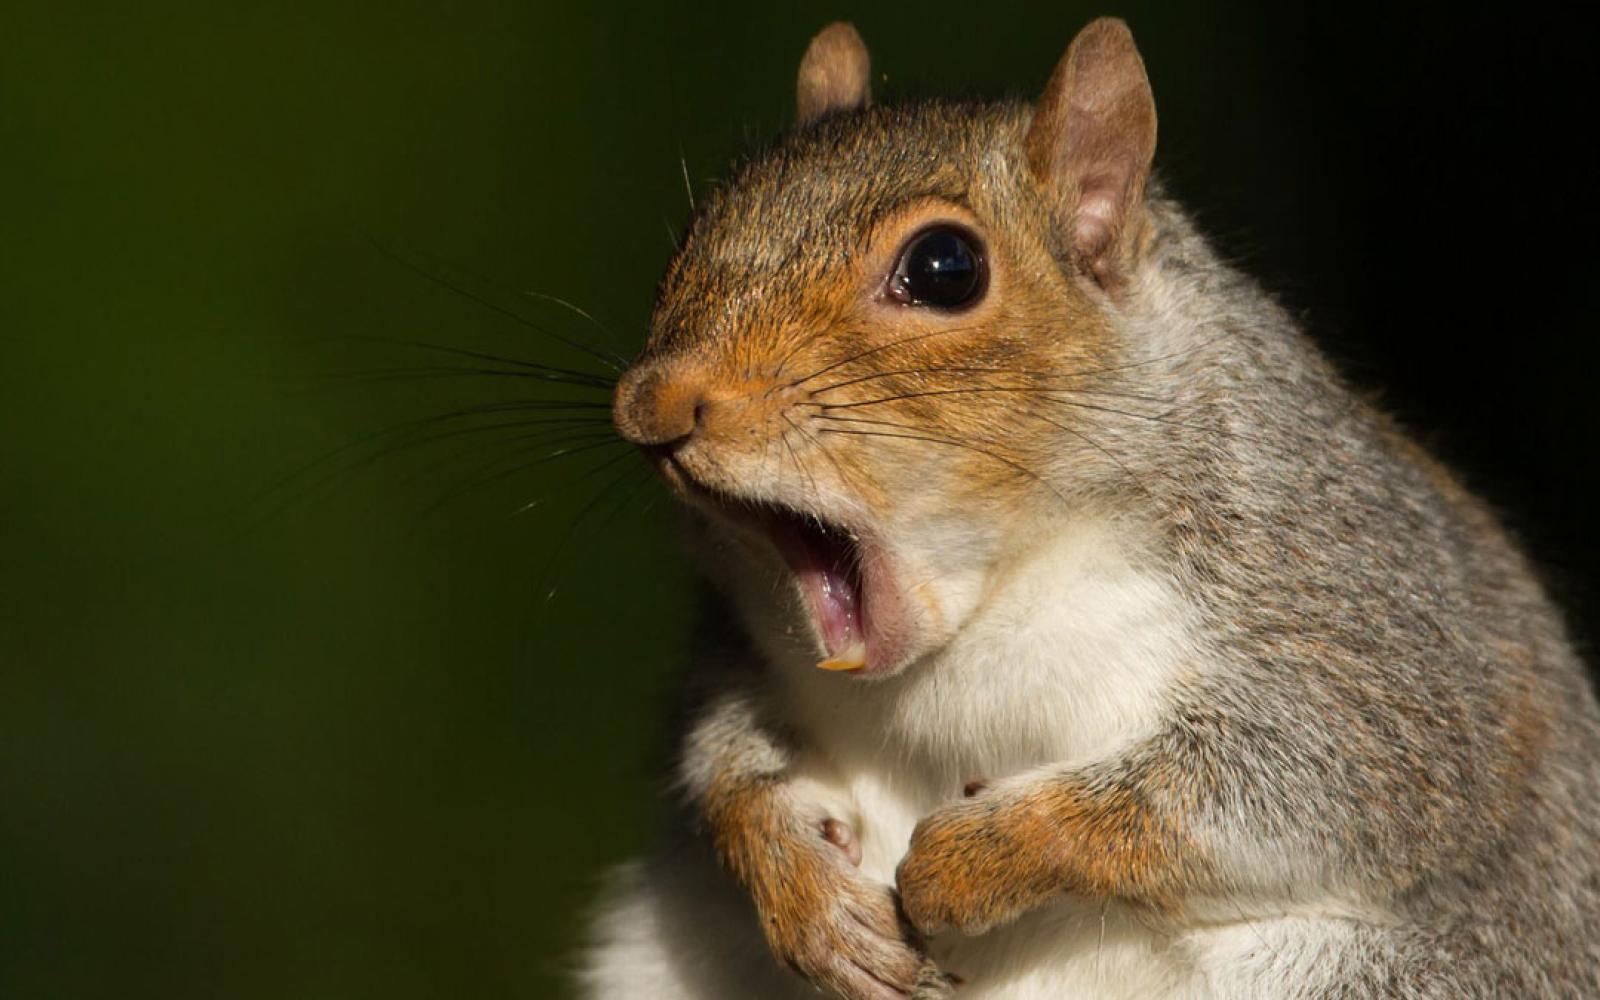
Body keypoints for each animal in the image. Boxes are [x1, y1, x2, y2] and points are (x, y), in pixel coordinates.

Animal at [579, 17, 1600, 1000]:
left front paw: (973, 859)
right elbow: (723, 758)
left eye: (946, 266)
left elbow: (1291, 787)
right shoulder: (739, 645)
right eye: (698, 225)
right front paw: (804, 893)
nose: (653, 404)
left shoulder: (1362, 625)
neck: (984, 612)